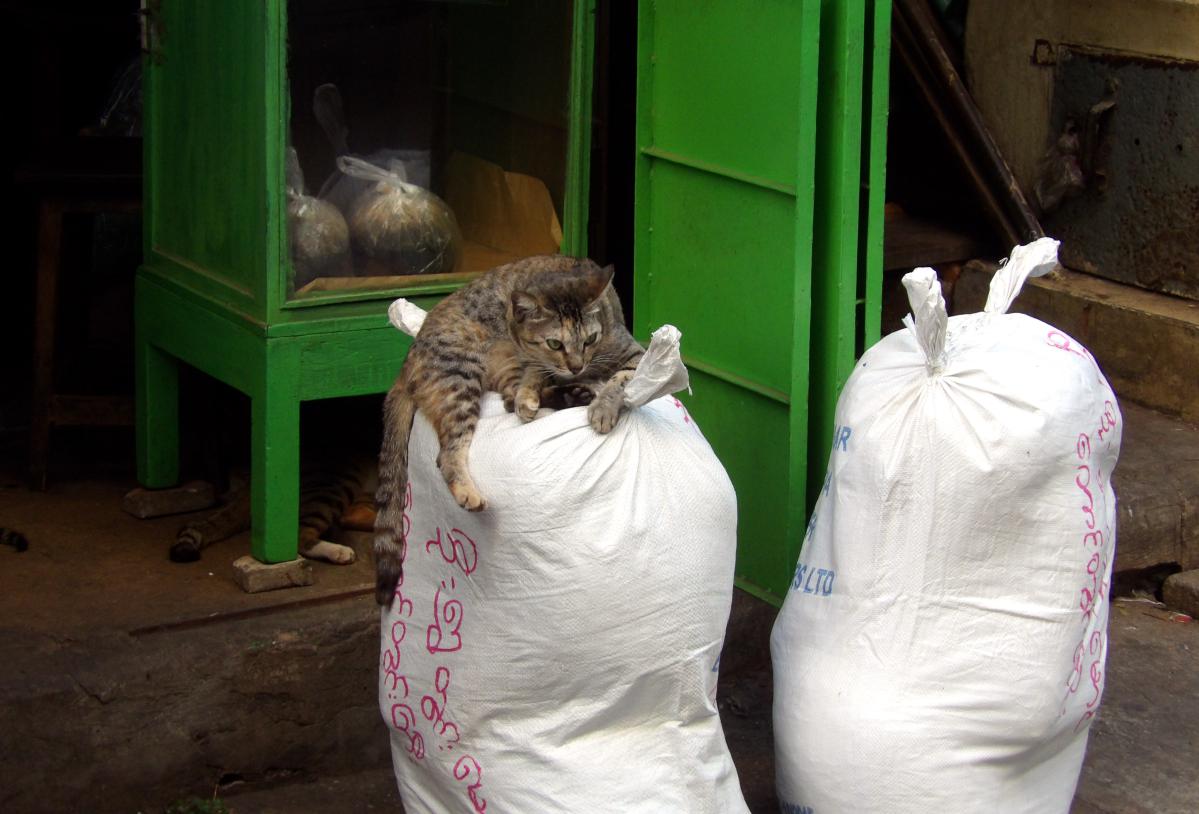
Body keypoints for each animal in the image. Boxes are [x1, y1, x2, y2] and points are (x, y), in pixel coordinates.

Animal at [374, 254, 647, 604]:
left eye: (590, 339)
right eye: (555, 343)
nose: (576, 367)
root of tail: (406, 365)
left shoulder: (632, 354)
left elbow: (619, 380)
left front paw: (602, 405)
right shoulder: (530, 360)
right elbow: (534, 377)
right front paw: (540, 396)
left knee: (503, 404)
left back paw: (573, 395)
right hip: (460, 376)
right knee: (448, 453)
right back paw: (470, 490)